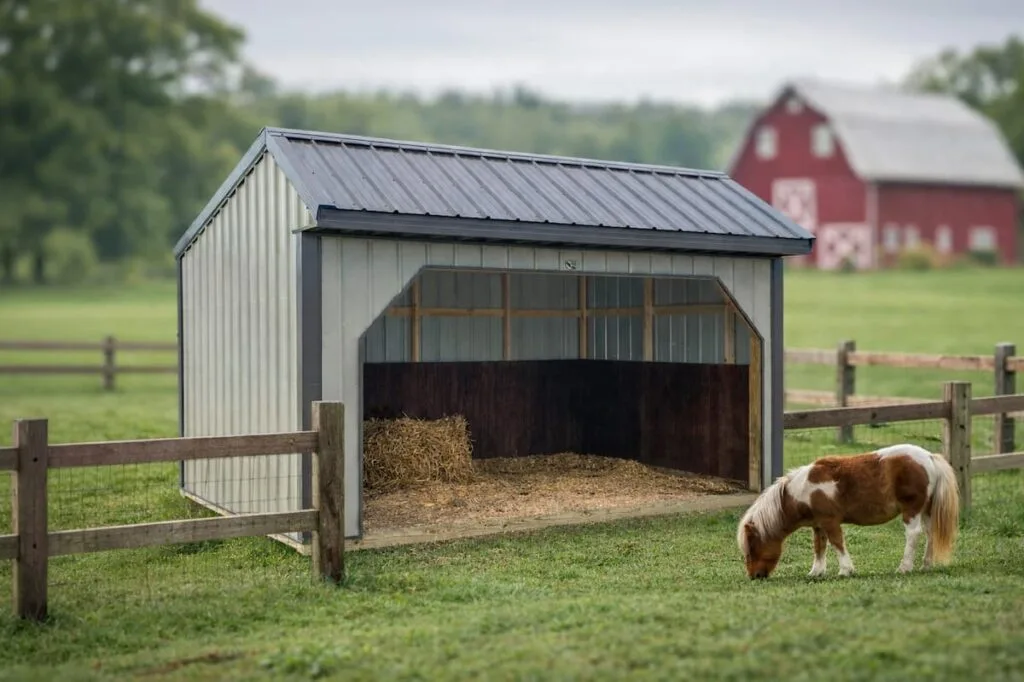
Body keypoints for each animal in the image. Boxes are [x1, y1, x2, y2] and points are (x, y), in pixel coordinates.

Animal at [736, 443, 960, 580]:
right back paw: (926, 565)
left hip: (911, 510)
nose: (755, 576)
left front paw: (845, 570)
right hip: (926, 509)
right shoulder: (818, 526)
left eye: (751, 548)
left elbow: (837, 543)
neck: (803, 489)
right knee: (930, 534)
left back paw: (904, 567)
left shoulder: (830, 522)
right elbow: (819, 547)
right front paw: (816, 572)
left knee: (913, 535)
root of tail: (929, 457)